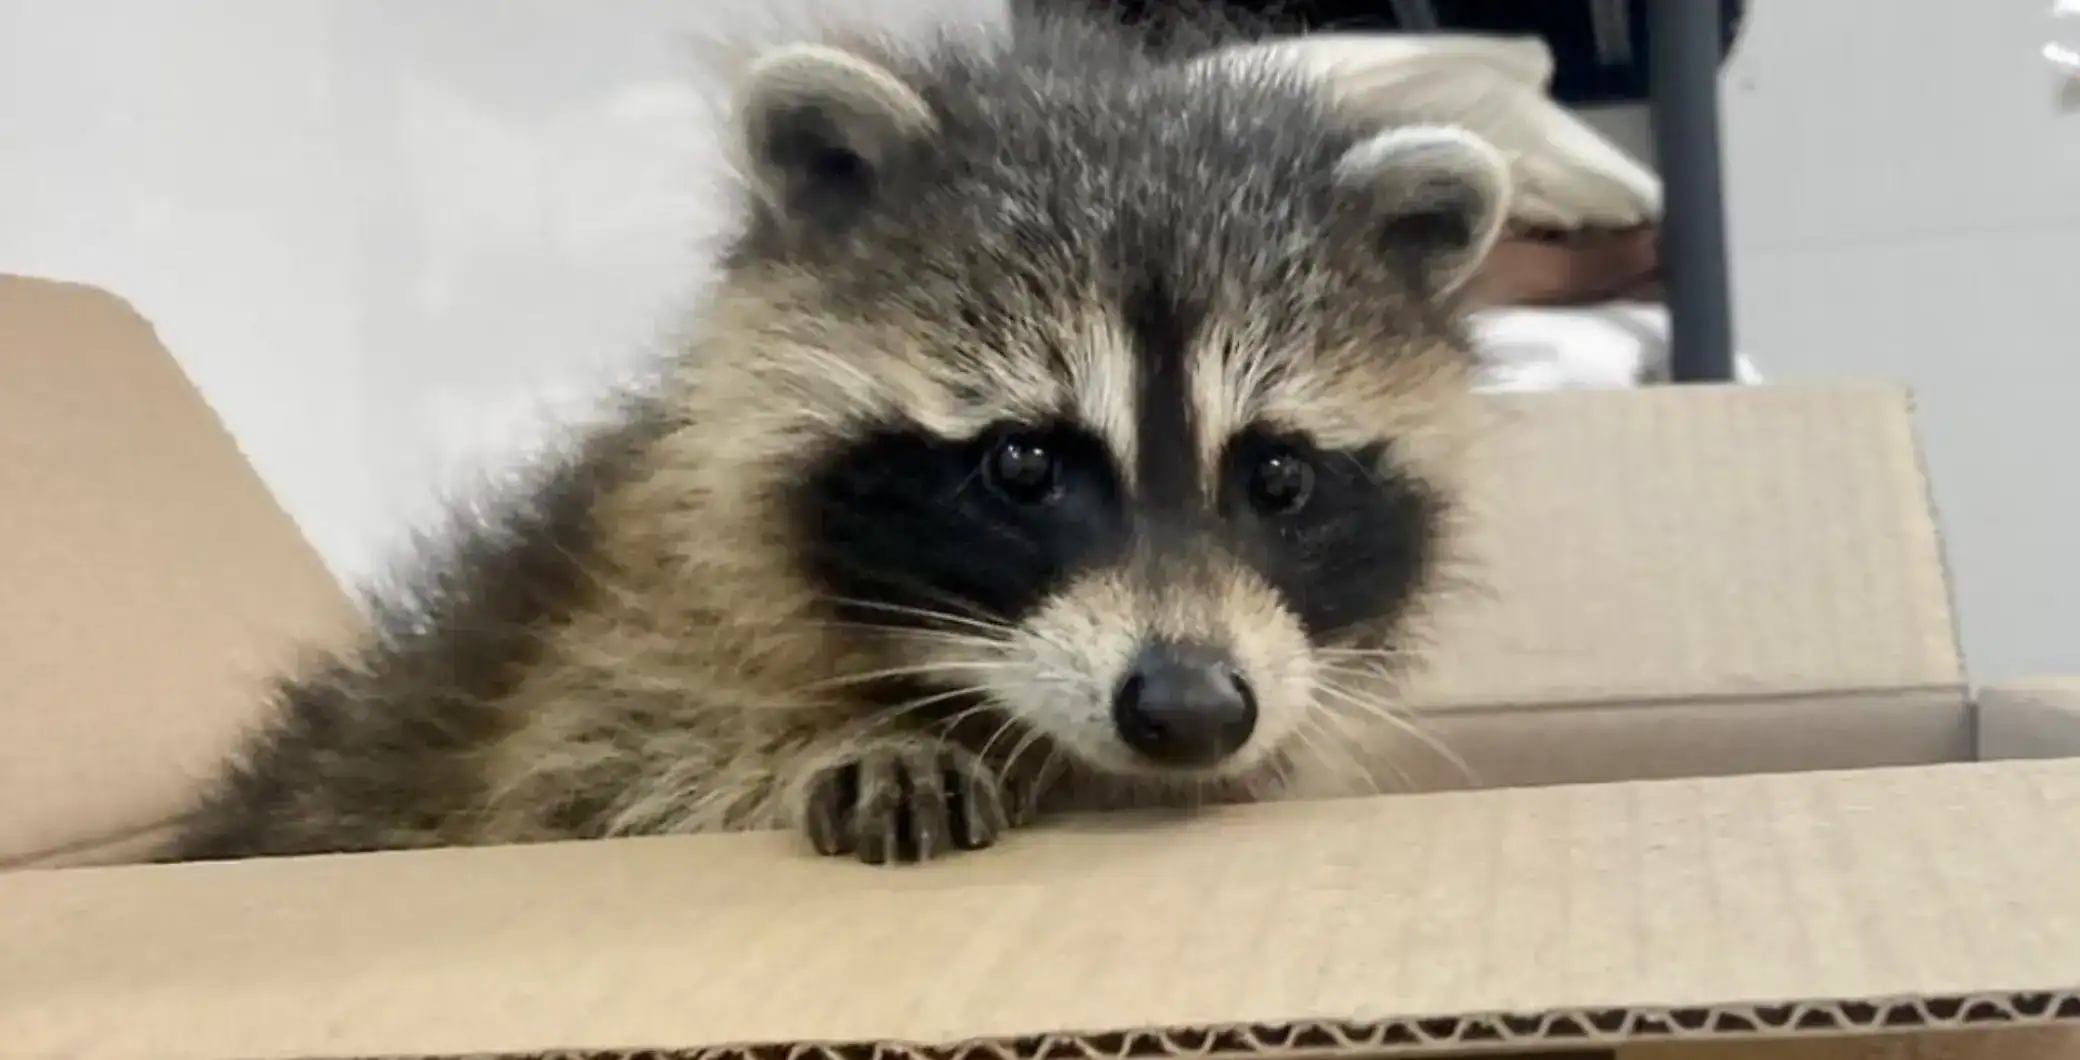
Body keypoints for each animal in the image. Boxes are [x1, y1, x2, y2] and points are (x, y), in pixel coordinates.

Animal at [165, 7, 1509, 867]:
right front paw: (866, 749)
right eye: (1024, 463)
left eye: (1278, 476)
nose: (1187, 708)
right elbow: (598, 783)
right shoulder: (579, 671)